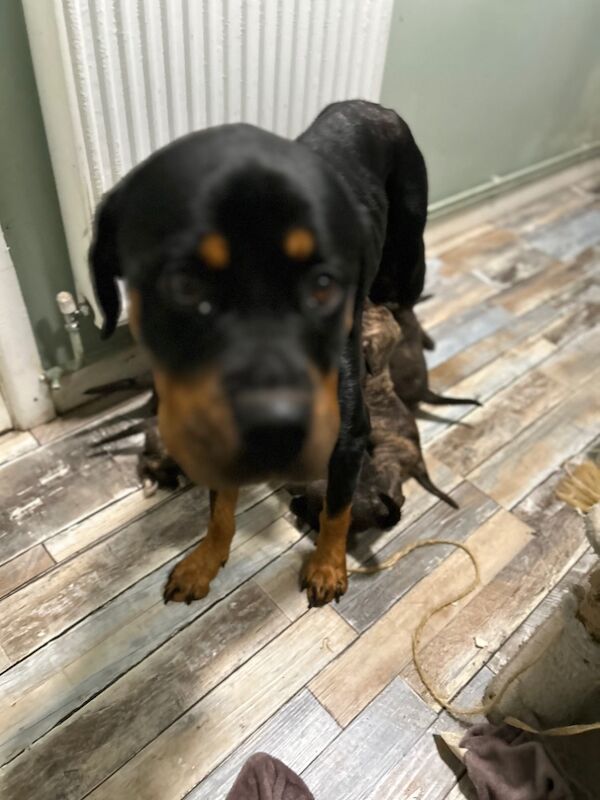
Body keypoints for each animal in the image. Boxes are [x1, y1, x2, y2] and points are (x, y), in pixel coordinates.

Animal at [89, 98, 428, 608]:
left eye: (323, 284)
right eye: (184, 284)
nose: (273, 423)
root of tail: (377, 107)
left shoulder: (347, 433)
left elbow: (338, 507)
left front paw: (328, 567)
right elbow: (219, 510)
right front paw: (206, 560)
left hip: (410, 258)